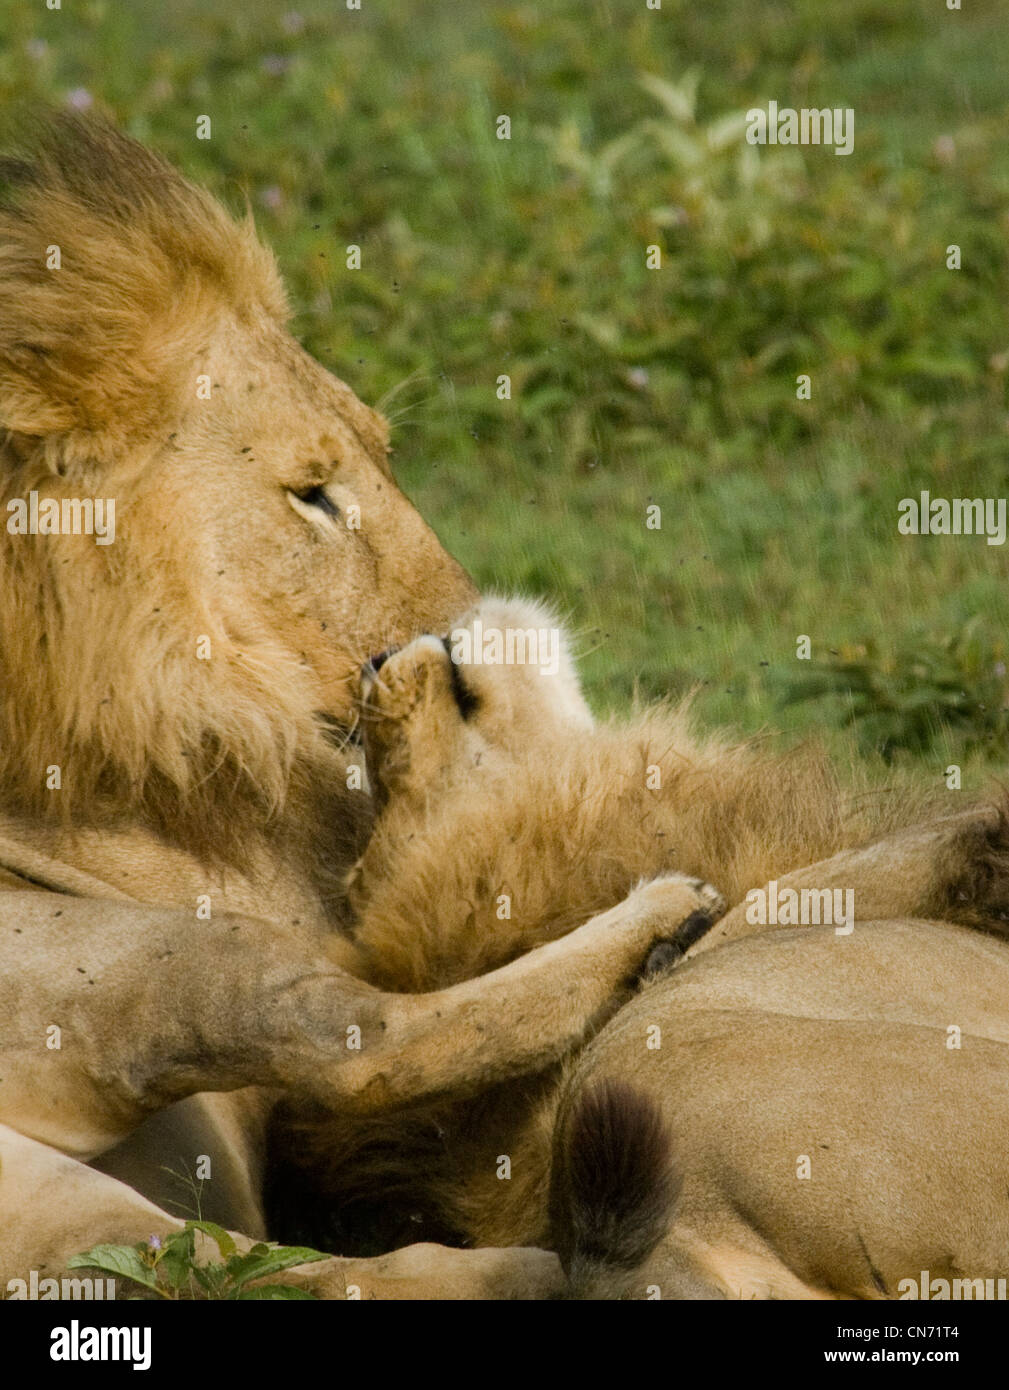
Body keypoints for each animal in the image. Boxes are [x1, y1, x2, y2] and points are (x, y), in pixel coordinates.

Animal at [0, 115, 717, 1300]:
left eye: (386, 451)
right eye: (311, 492)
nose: (461, 623)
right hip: (140, 967)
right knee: (352, 1054)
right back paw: (658, 926)